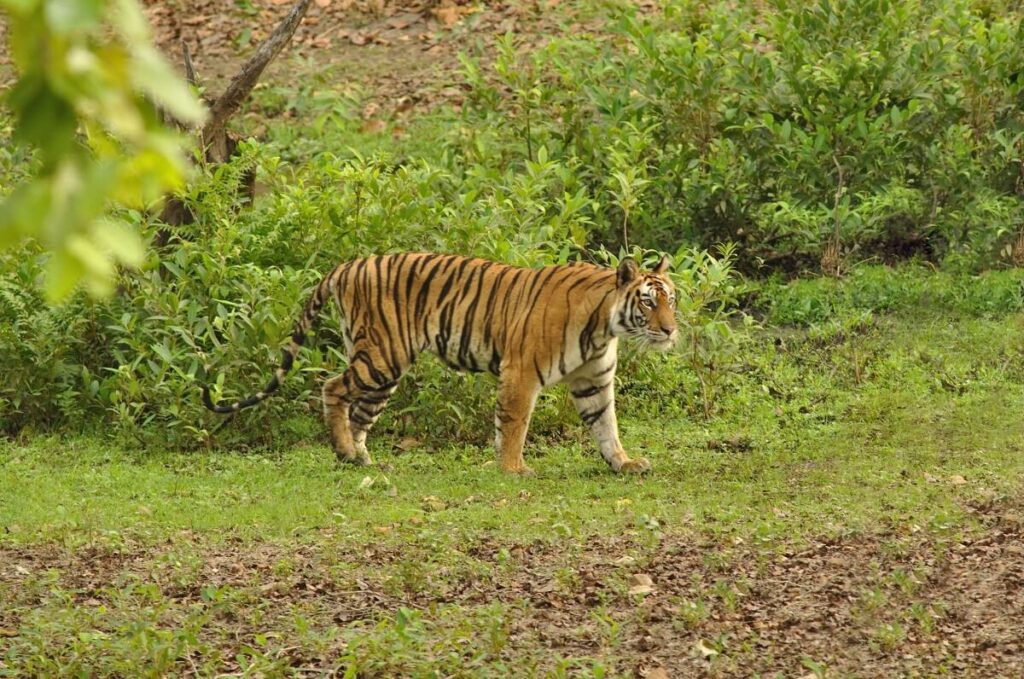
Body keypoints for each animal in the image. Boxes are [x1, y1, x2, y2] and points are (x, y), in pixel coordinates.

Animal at [202, 253, 678, 474]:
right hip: (381, 356)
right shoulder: (520, 372)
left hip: (384, 372)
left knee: (359, 414)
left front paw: (623, 463)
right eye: (647, 302)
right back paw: (343, 452)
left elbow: (606, 426)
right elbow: (514, 424)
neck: (604, 327)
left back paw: (362, 460)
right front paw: (513, 468)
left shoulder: (593, 382)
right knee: (332, 387)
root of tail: (350, 263)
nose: (671, 330)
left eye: (671, 300)